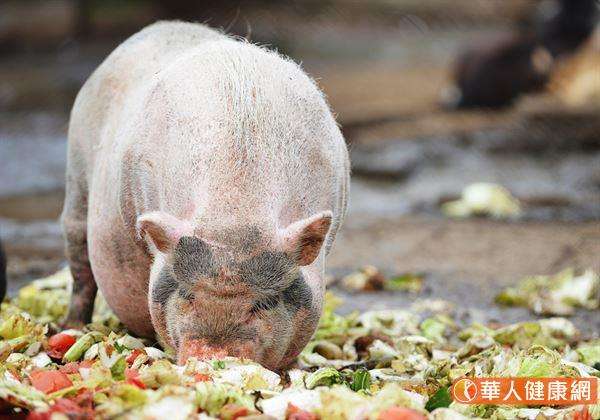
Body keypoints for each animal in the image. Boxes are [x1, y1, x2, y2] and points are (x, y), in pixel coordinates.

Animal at [59, 21, 352, 370]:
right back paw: (72, 329)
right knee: (80, 266)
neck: (235, 211)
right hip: (77, 181)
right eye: (187, 294)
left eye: (265, 303)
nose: (211, 356)